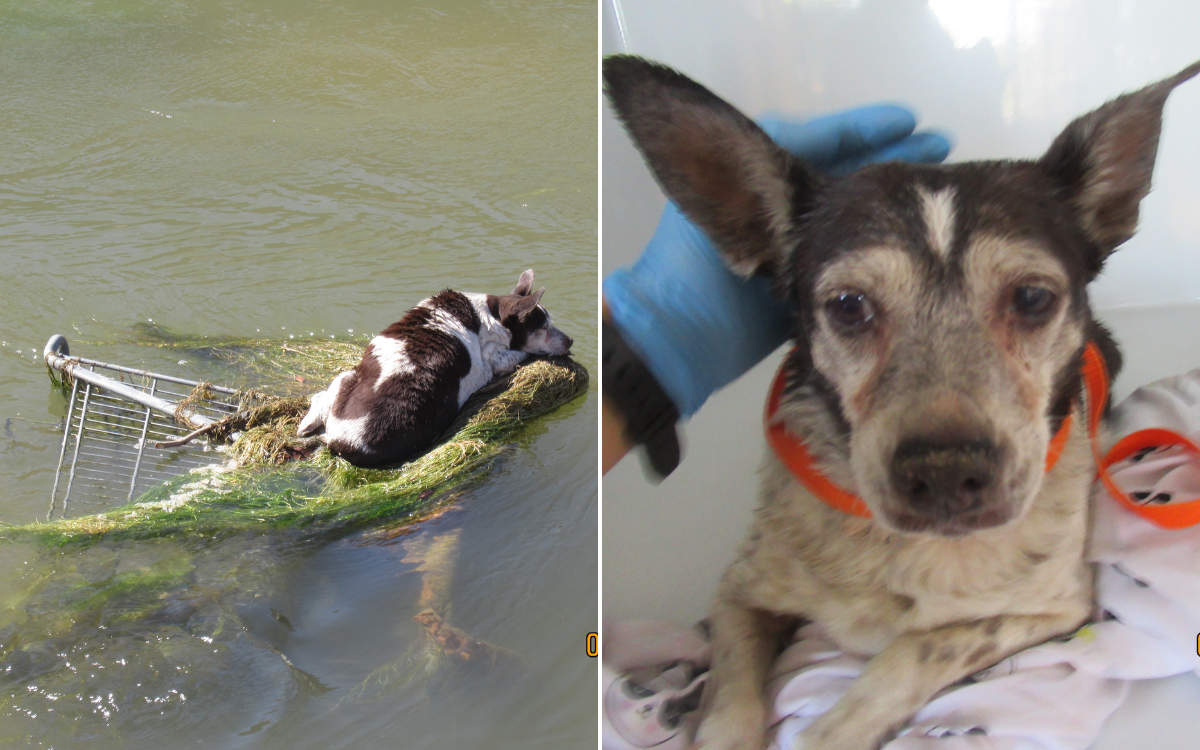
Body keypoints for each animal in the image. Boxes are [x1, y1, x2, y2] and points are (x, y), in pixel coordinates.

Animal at [292, 268, 568, 468]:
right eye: (544, 328)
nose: (571, 341)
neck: (491, 315)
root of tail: (340, 442)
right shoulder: (498, 359)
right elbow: (517, 353)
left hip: (349, 375)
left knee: (321, 398)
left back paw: (306, 424)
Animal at [609, 55, 1200, 748]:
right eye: (848, 306)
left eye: (1032, 297)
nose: (944, 472)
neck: (896, 549)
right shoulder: (737, 594)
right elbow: (730, 696)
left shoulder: (1054, 606)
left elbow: (910, 652)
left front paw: (833, 728)